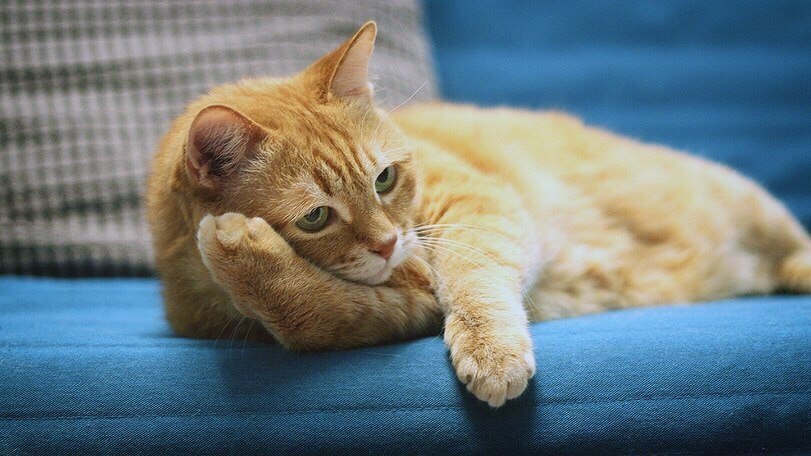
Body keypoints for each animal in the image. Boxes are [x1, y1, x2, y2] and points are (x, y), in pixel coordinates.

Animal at [146, 21, 811, 407]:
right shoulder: (391, 309)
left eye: (384, 178)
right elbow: (312, 313)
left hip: (748, 205)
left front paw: (492, 353)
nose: (388, 244)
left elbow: (473, 277)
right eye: (315, 218)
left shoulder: (473, 209)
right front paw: (243, 252)